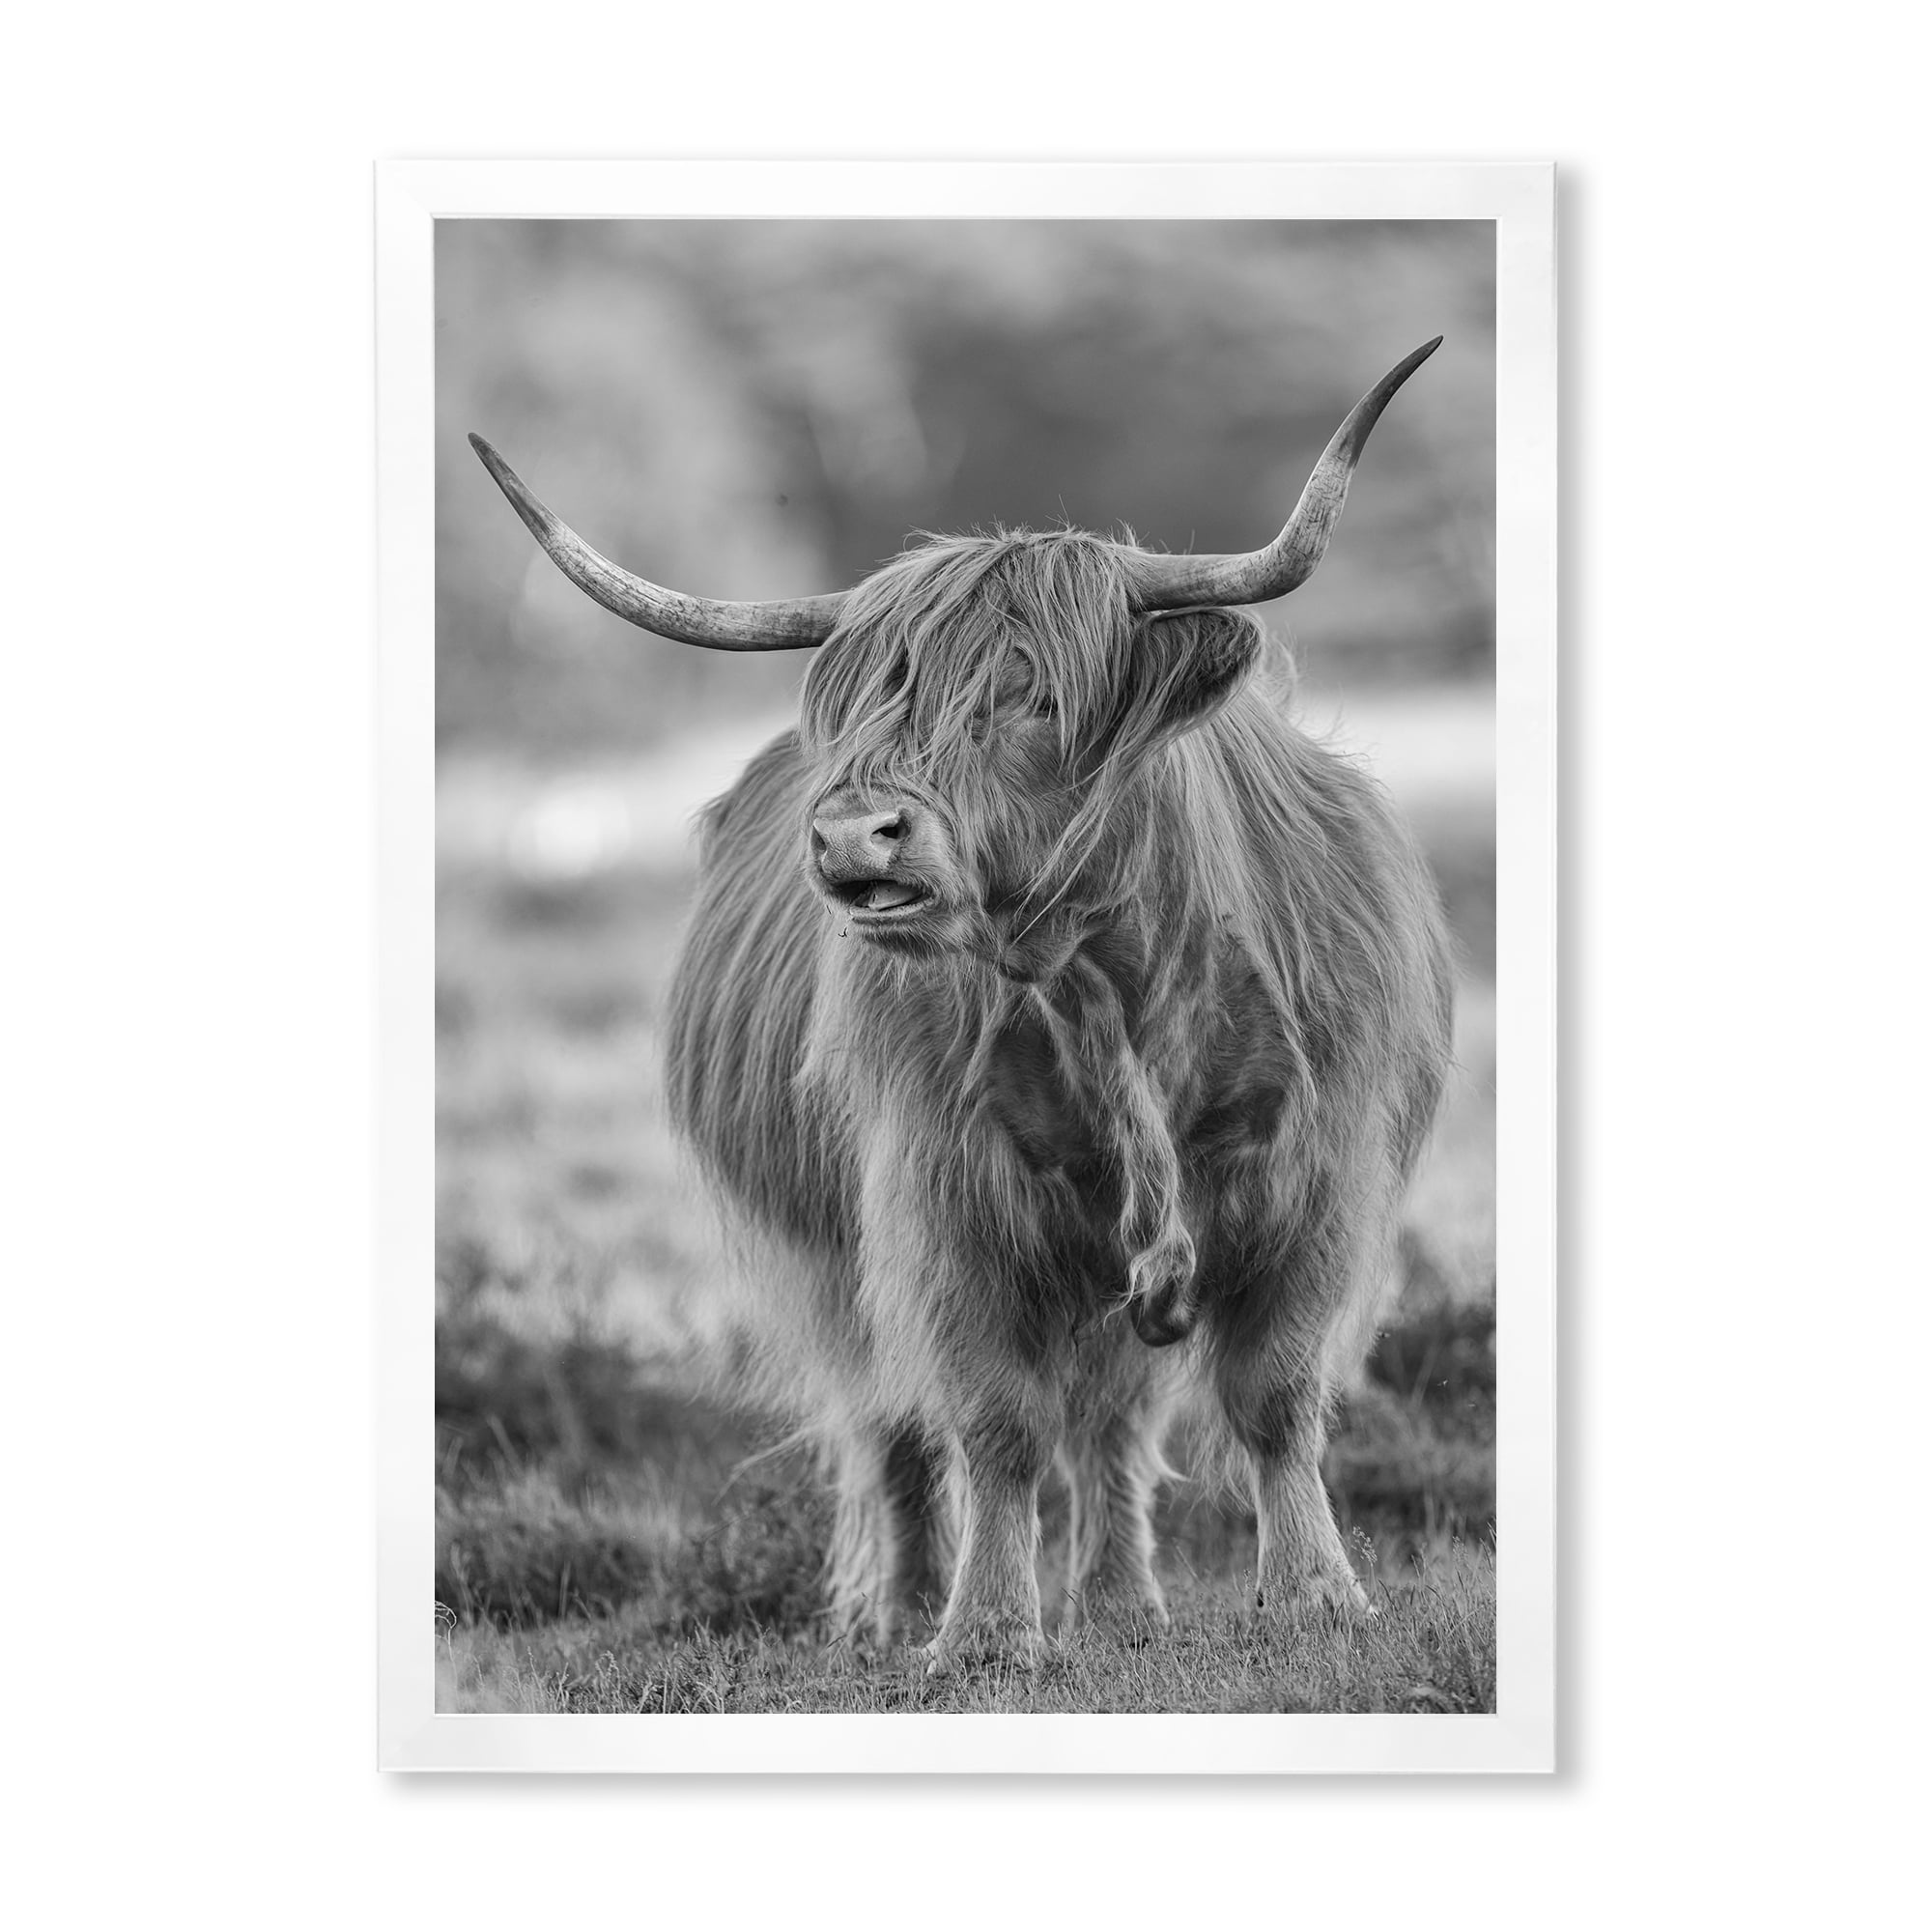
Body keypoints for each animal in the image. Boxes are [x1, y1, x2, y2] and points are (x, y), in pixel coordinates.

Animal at [470, 339, 1455, 1674]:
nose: (851, 833)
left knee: (1112, 1419)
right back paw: (899, 1612)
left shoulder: (1315, 1177)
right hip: (837, 1258)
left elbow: (1273, 1394)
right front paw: (984, 1629)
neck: (1109, 983)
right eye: (866, 703)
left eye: (1032, 693)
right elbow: (991, 1421)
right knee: (895, 1417)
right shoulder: (942, 1197)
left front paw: (1313, 1597)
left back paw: (1121, 1602)